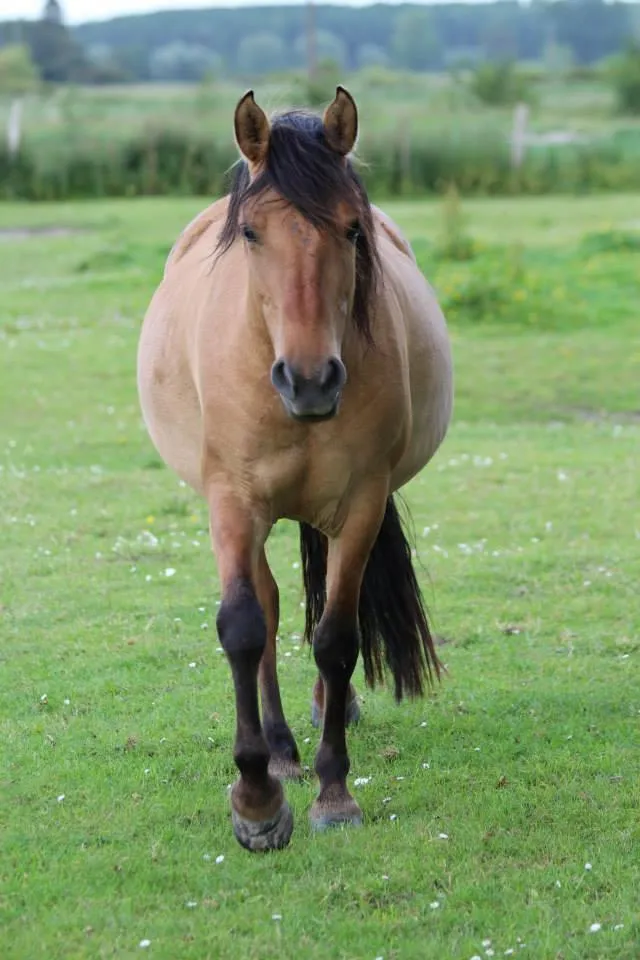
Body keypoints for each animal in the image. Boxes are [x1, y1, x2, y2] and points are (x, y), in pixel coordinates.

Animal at [137, 86, 452, 852]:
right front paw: (256, 800)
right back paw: (279, 747)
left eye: (352, 229)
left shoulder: (361, 503)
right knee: (274, 605)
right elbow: (244, 627)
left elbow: (337, 639)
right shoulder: (231, 501)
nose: (309, 381)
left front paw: (334, 792)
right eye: (252, 234)